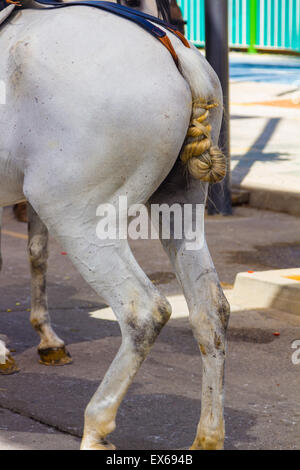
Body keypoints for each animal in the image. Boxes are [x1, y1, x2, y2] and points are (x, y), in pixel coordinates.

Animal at [0, 0, 230, 450]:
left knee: (143, 310)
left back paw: (97, 425)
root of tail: (177, 51)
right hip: (181, 206)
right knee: (209, 309)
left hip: (77, 214)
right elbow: (34, 252)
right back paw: (208, 436)